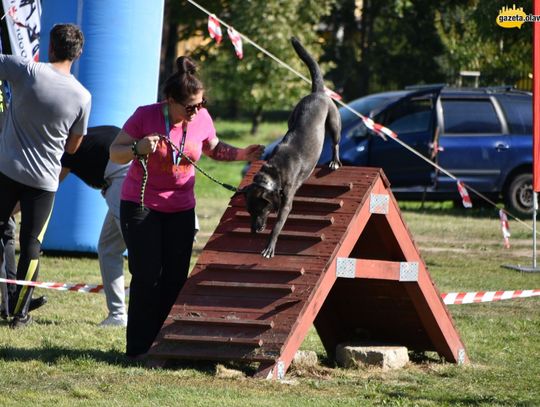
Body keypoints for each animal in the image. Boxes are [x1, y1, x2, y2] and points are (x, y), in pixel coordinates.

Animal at [242, 35, 340, 258]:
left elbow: (278, 226)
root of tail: (318, 92)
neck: (274, 173)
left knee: (336, 143)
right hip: (292, 117)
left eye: (260, 211)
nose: (254, 231)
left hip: (334, 122)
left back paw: (334, 162)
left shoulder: (286, 202)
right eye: (249, 212)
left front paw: (269, 247)